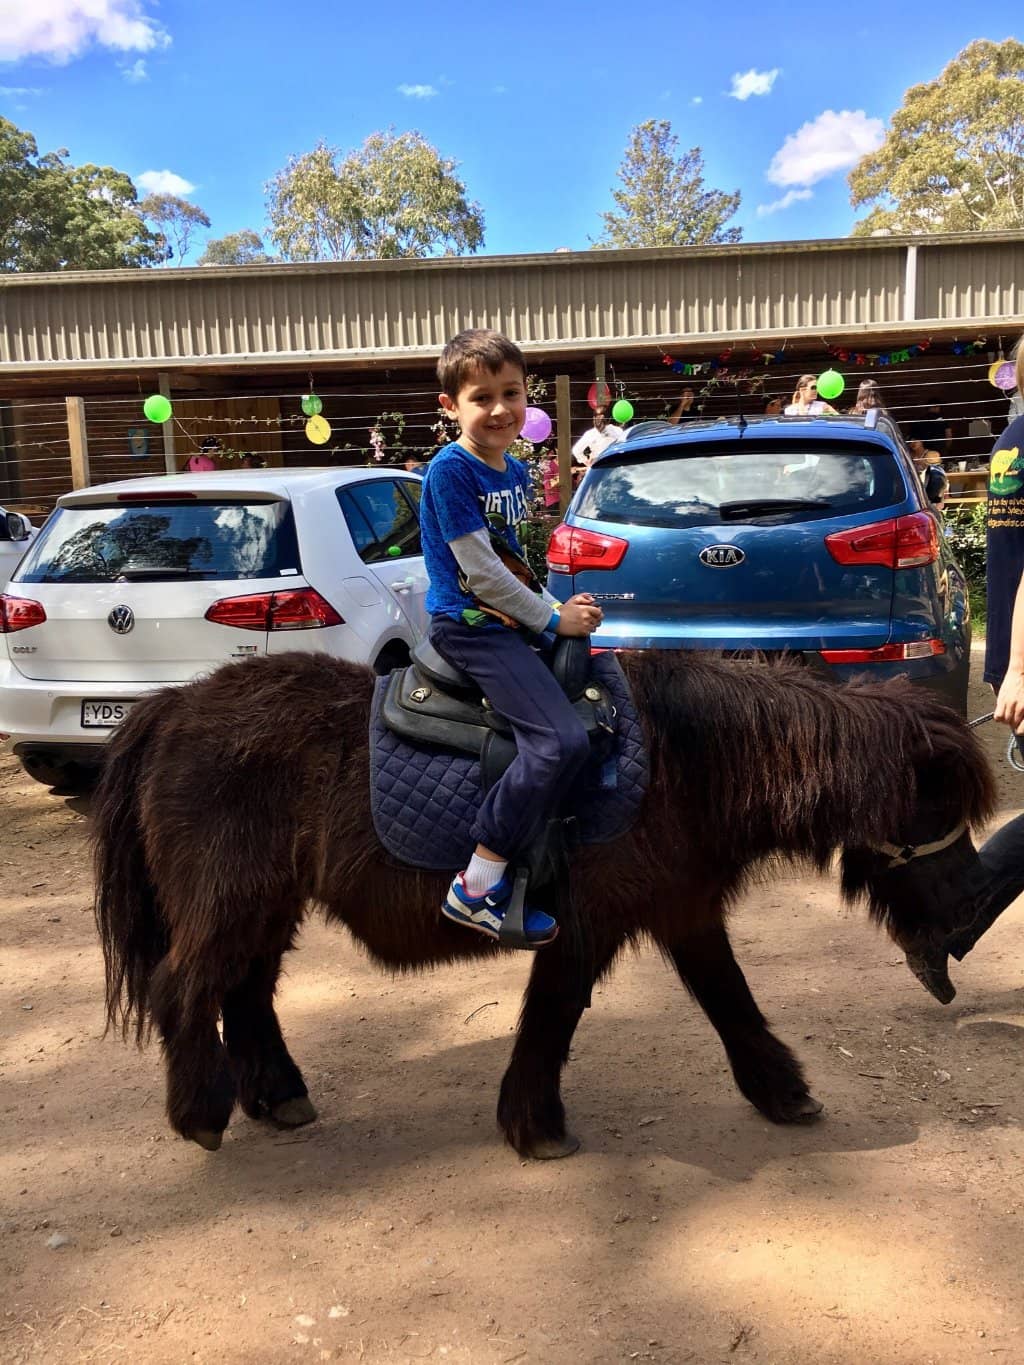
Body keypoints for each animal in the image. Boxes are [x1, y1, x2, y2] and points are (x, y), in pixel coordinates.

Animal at [92, 649, 994, 1159]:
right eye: (935, 803)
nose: (970, 904)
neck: (686, 755)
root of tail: (173, 704)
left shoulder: (685, 911)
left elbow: (731, 1001)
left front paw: (784, 1092)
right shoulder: (588, 924)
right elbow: (553, 1017)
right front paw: (536, 1125)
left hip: (265, 904)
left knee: (245, 993)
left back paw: (278, 1097)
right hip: (230, 900)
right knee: (185, 989)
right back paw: (201, 1111)